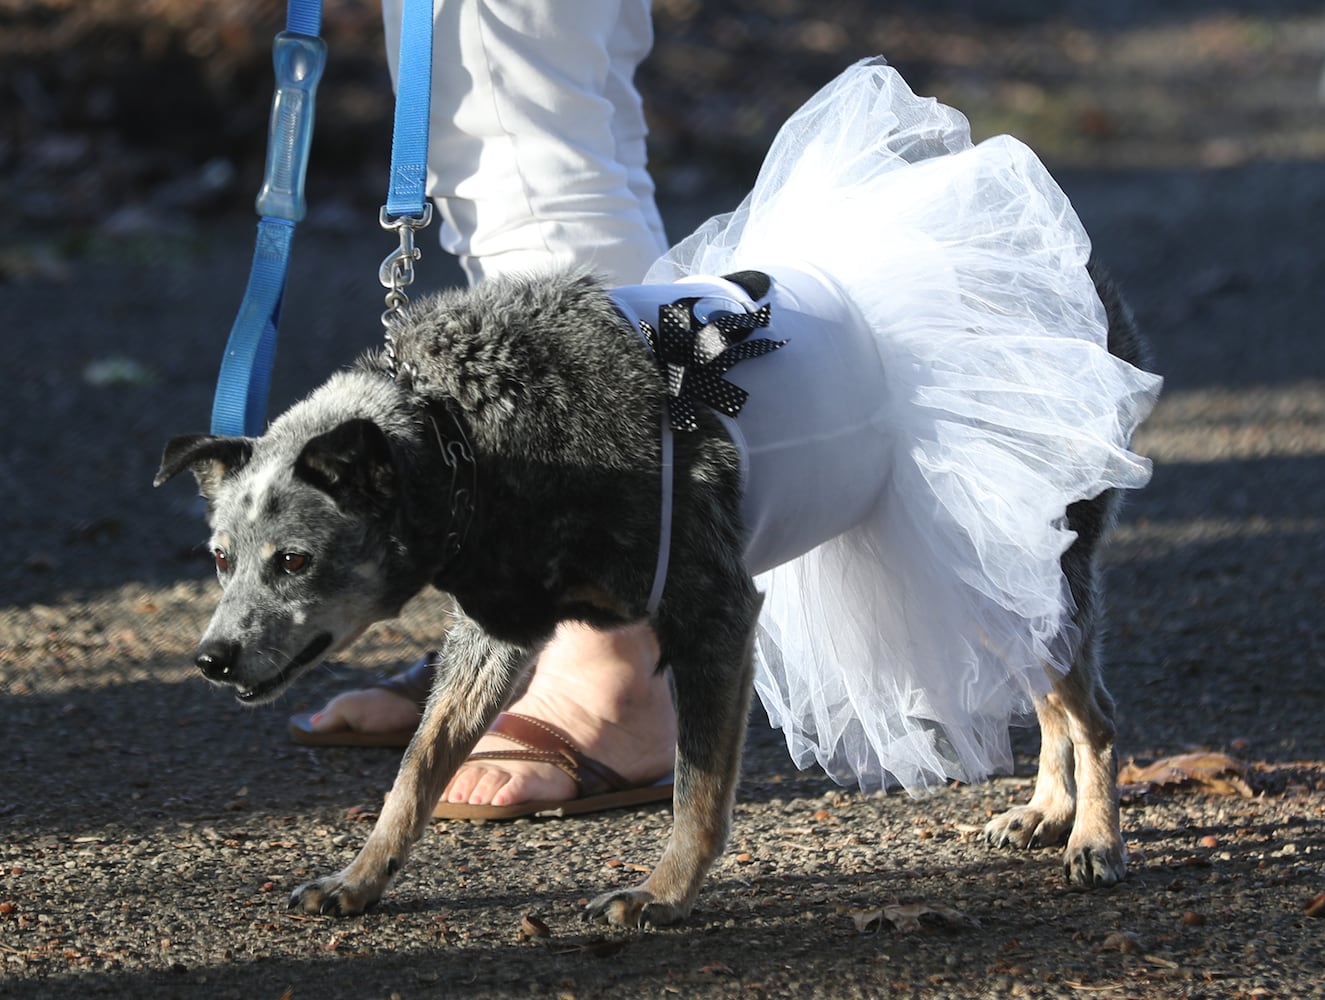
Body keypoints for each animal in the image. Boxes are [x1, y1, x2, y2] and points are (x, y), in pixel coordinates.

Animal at [157, 262, 1150, 927]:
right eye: (219, 558)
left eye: (293, 560)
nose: (212, 659)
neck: (465, 432)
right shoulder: (495, 633)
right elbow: (417, 768)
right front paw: (359, 879)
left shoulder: (712, 614)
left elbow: (696, 790)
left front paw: (661, 894)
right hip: (983, 573)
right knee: (1054, 704)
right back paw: (1045, 812)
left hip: (1024, 561)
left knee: (1096, 713)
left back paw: (1093, 841)